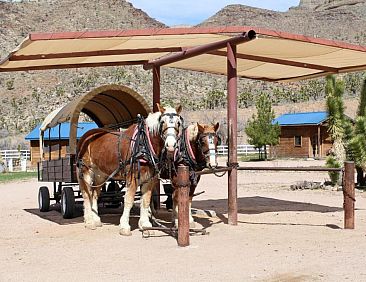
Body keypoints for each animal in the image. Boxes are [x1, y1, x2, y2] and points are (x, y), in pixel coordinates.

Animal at [76, 103, 183, 236]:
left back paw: (96, 220)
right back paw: (90, 221)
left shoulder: (150, 178)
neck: (144, 143)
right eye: (162, 122)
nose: (171, 145)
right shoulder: (132, 177)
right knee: (86, 194)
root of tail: (86, 136)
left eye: (178, 123)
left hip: (100, 174)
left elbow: (146, 200)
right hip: (86, 171)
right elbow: (129, 199)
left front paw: (146, 225)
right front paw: (124, 226)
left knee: (95, 195)